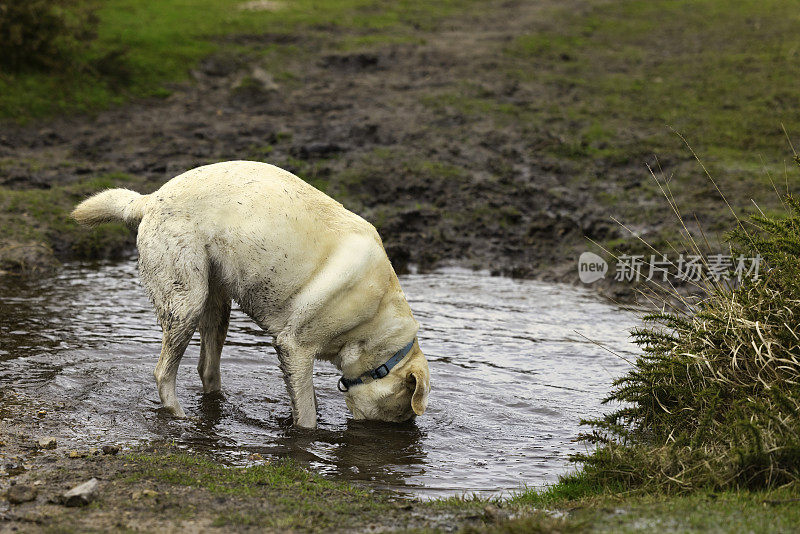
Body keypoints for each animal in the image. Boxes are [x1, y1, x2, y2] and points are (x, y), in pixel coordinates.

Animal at [72, 161, 428, 430]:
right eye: (404, 411)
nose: (409, 431)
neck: (375, 328)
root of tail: (151, 198)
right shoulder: (295, 347)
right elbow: (307, 416)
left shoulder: (296, 358)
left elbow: (305, 398)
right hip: (185, 302)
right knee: (164, 372)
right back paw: (179, 416)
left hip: (217, 305)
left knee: (207, 368)